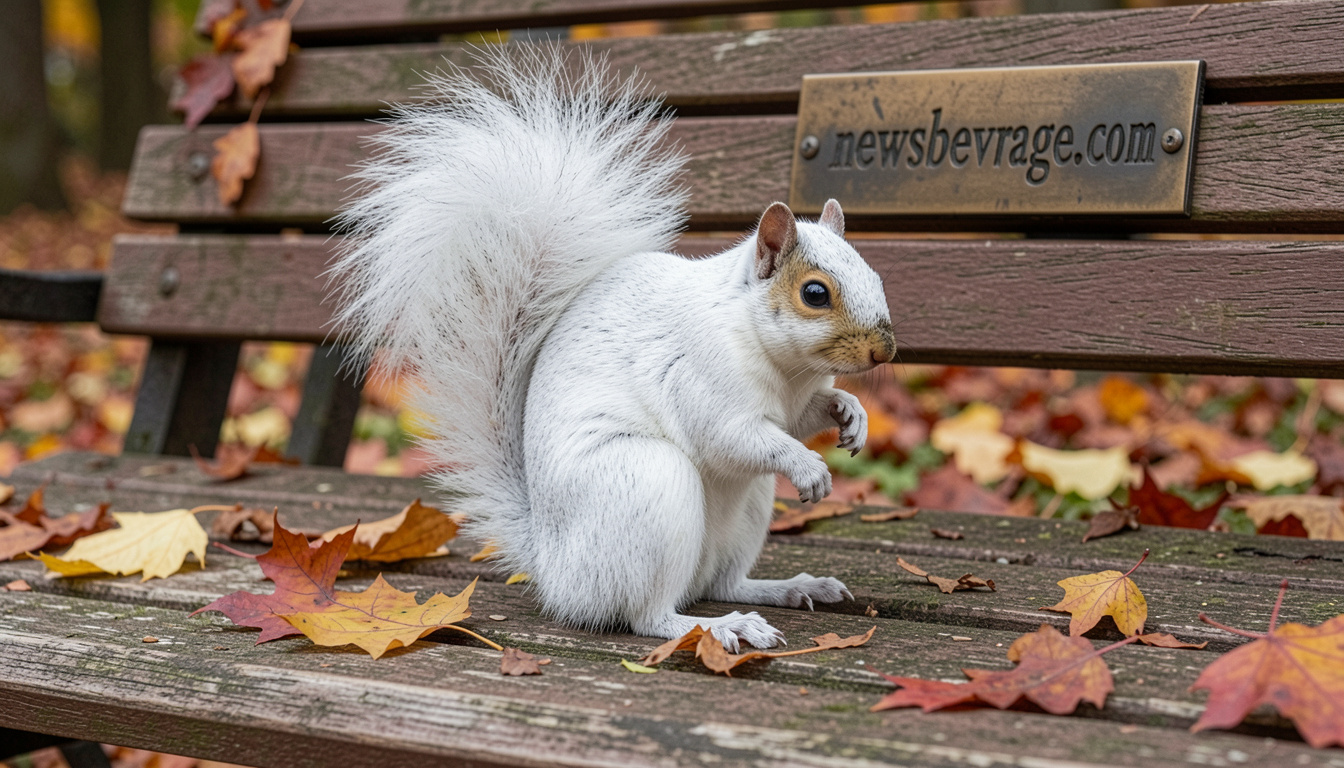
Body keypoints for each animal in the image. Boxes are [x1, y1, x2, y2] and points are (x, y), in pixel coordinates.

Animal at [330, 47, 896, 651]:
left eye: (876, 274)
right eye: (815, 293)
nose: (884, 352)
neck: (783, 365)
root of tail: (556, 570)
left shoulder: (793, 399)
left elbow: (804, 416)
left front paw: (849, 413)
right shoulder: (698, 377)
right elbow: (731, 436)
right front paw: (808, 466)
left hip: (747, 512)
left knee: (724, 581)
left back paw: (787, 589)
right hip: (648, 486)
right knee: (649, 614)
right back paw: (720, 625)